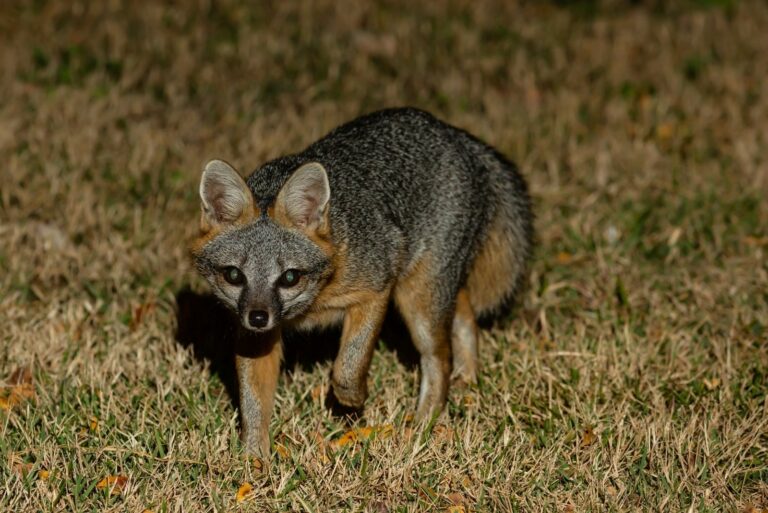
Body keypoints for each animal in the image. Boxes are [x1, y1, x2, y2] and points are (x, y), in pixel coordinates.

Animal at [191, 107, 533, 458]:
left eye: (290, 277)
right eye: (234, 275)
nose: (258, 317)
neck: (313, 301)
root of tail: (455, 134)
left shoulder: (376, 289)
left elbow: (348, 365)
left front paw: (354, 399)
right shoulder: (254, 337)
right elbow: (253, 404)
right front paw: (254, 460)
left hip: (417, 298)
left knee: (439, 357)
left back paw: (424, 423)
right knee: (464, 316)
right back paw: (466, 378)